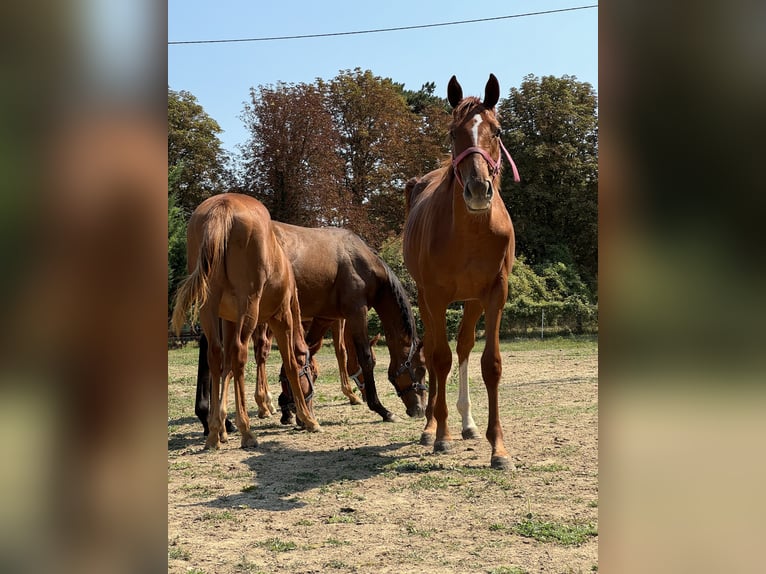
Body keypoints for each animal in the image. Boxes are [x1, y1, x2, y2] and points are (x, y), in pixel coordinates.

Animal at [172, 194, 320, 450]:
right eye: (313, 373)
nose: (298, 418)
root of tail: (223, 206)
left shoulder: (228, 320)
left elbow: (226, 368)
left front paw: (221, 424)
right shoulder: (281, 317)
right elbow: (290, 363)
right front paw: (308, 419)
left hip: (209, 306)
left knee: (216, 355)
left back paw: (214, 434)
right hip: (249, 305)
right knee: (240, 353)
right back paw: (246, 432)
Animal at [402, 74, 520, 472]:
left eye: (496, 131)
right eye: (454, 132)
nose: (479, 189)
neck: (469, 232)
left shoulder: (495, 293)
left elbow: (490, 363)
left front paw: (498, 448)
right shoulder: (435, 296)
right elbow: (439, 359)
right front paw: (441, 435)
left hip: (472, 301)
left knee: (464, 346)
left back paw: (467, 424)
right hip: (426, 300)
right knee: (433, 350)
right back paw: (431, 427)